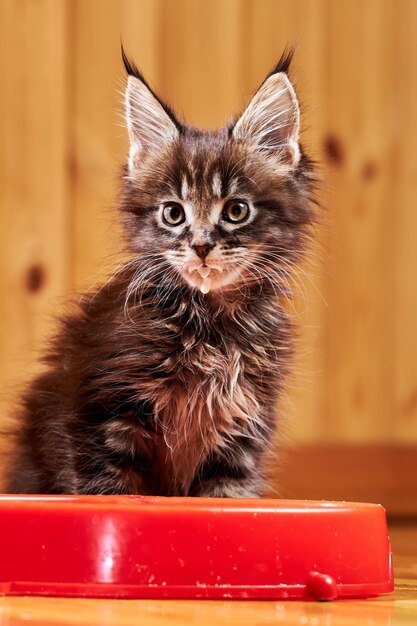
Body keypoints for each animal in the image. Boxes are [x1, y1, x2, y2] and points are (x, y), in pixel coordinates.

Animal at [4, 48, 316, 494]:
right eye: (173, 213)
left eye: (236, 210)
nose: (201, 246)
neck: (212, 326)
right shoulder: (99, 419)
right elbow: (110, 494)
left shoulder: (241, 437)